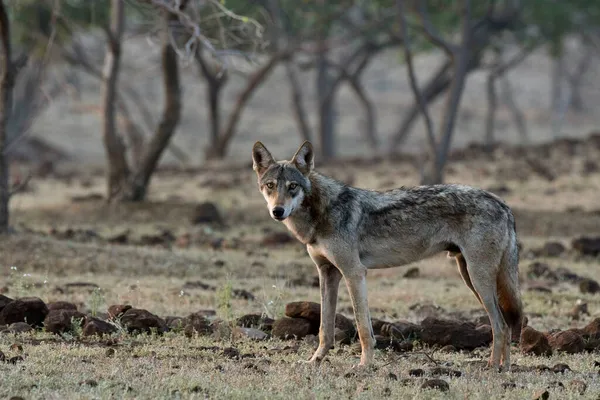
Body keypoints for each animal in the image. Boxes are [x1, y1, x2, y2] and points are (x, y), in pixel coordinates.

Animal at [251, 141, 524, 372]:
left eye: (293, 186)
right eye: (270, 186)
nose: (278, 211)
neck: (322, 213)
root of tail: (502, 203)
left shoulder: (354, 272)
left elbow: (363, 328)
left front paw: (364, 366)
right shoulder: (328, 273)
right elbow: (324, 328)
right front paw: (315, 361)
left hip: (478, 279)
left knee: (501, 325)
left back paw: (492, 368)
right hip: (470, 276)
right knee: (506, 324)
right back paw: (506, 368)